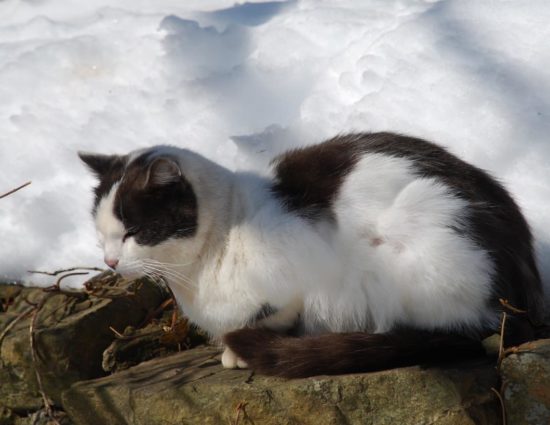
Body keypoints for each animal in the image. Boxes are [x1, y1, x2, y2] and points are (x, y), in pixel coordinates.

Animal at [80, 132, 544, 378]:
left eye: (135, 233)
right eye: (101, 234)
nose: (110, 263)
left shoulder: (298, 270)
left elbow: (276, 314)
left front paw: (239, 350)